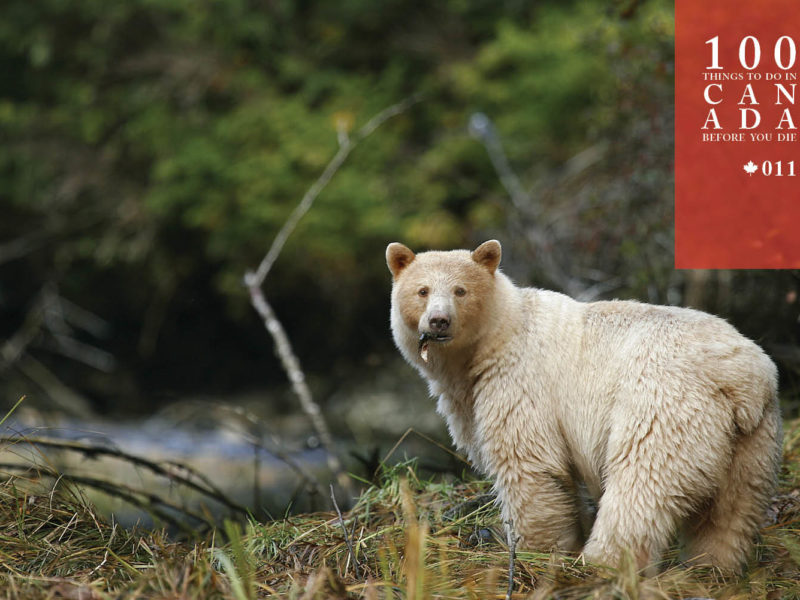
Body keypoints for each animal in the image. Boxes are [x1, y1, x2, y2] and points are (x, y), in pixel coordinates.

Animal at [388, 239, 780, 572]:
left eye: (460, 290)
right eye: (422, 290)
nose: (439, 321)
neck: (494, 339)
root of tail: (741, 378)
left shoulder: (520, 380)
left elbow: (529, 464)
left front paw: (533, 551)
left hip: (664, 406)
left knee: (641, 486)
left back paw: (601, 563)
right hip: (752, 437)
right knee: (731, 509)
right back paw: (711, 566)